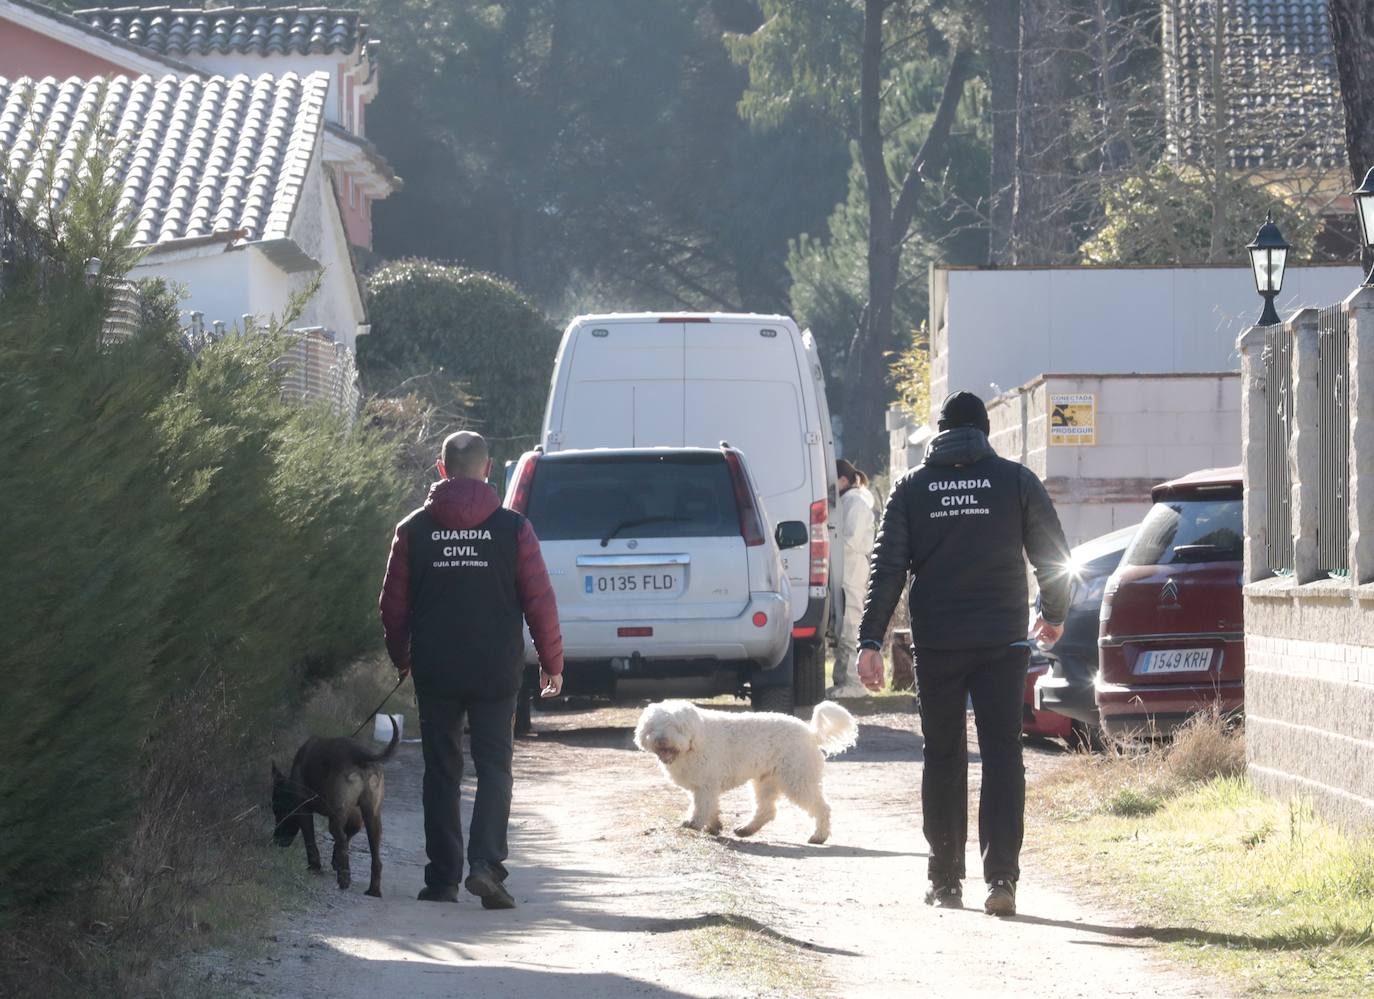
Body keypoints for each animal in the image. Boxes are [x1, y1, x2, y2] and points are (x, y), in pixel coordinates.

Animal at [267, 720, 398, 901]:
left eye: (278, 810)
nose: (276, 840)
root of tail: (361, 755)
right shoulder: (355, 819)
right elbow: (347, 837)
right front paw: (336, 861)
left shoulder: (304, 811)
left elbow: (311, 840)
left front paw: (315, 867)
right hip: (372, 817)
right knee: (374, 855)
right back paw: (373, 890)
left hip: (336, 817)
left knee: (340, 837)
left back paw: (344, 879)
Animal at [634, 703, 857, 846]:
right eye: (652, 727)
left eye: (676, 726)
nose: (661, 740)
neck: (696, 739)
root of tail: (811, 733)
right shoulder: (704, 787)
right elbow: (711, 807)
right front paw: (713, 826)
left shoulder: (706, 786)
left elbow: (701, 807)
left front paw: (693, 824)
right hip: (766, 781)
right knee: (766, 810)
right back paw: (746, 829)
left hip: (798, 779)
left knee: (822, 807)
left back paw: (819, 836)